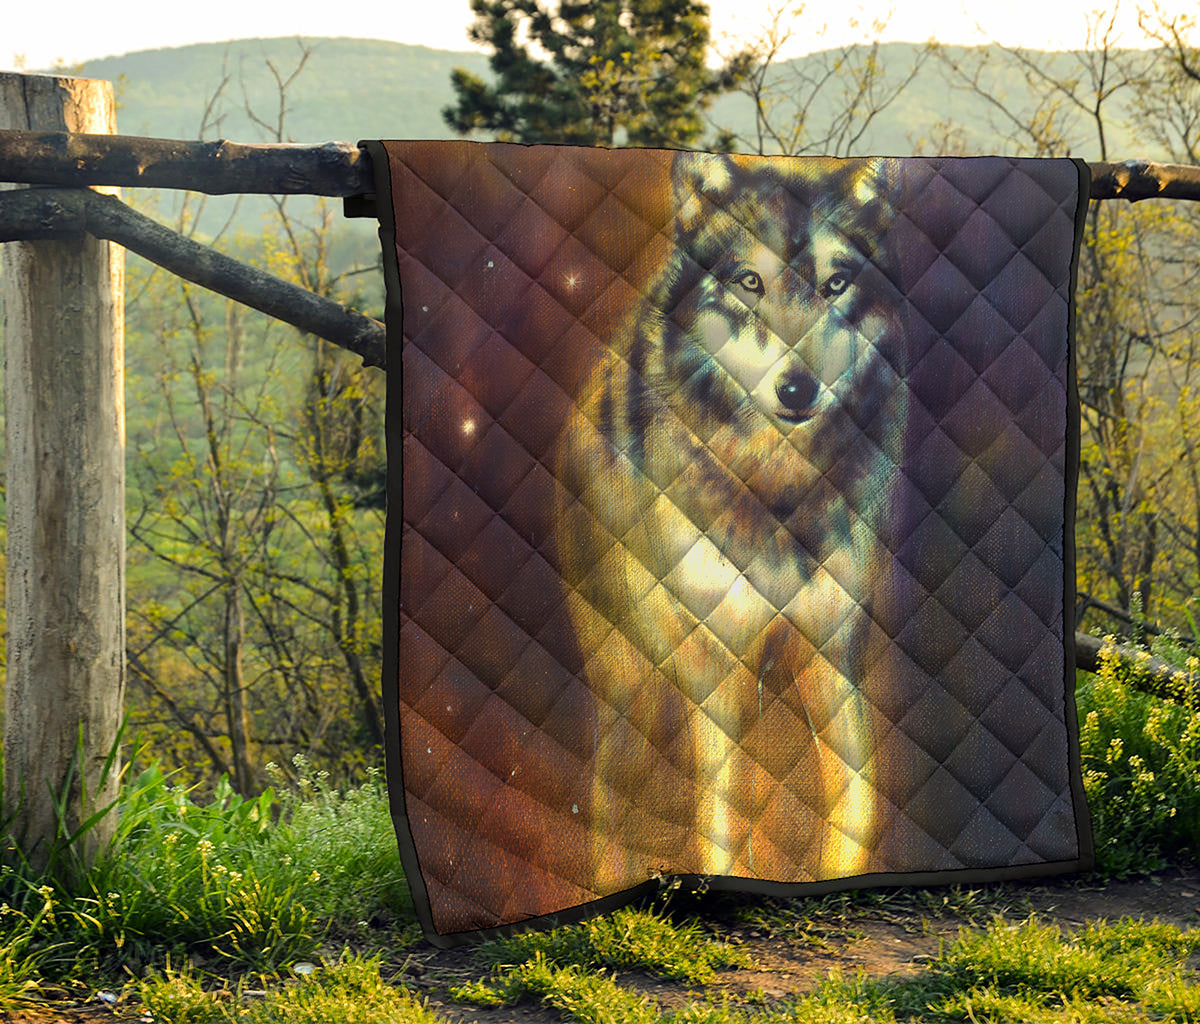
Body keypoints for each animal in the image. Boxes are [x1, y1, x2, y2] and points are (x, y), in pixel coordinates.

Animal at [553, 152, 907, 896]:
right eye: (750, 281)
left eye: (836, 284)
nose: (798, 389)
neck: (774, 490)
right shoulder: (716, 663)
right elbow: (726, 806)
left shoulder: (833, 653)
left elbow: (856, 801)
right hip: (634, 685)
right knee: (608, 792)